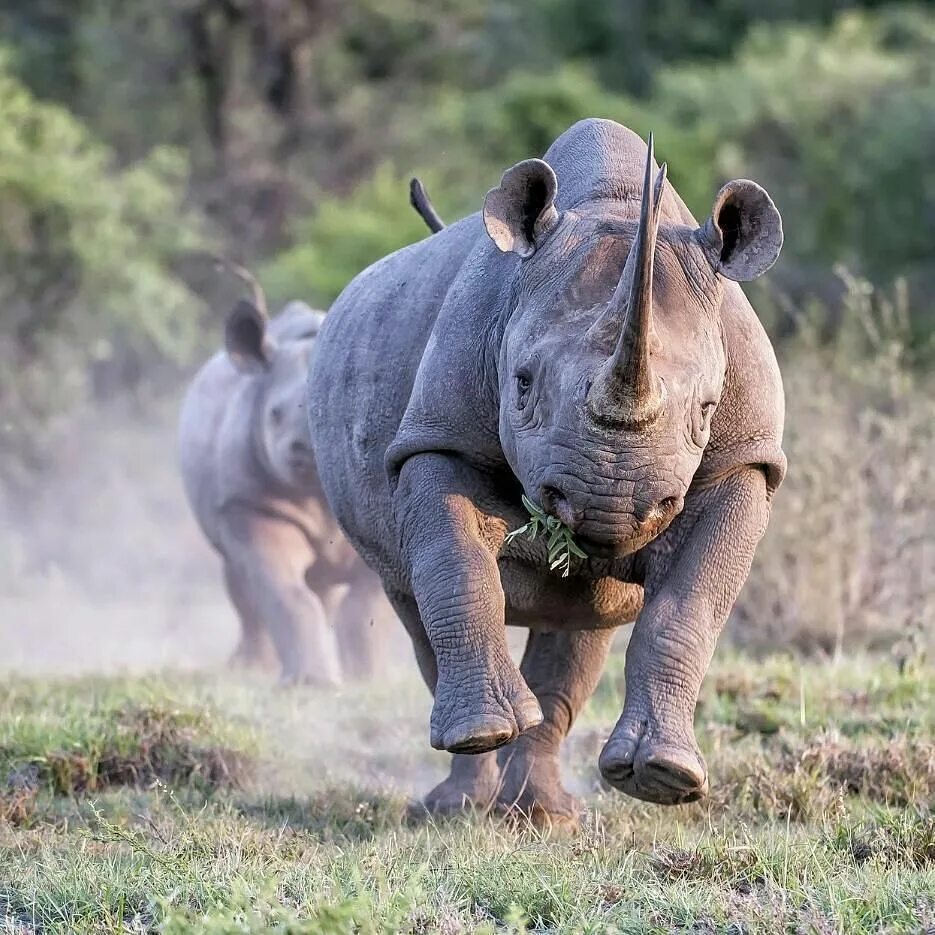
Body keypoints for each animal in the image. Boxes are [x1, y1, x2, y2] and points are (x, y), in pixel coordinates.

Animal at [177, 296, 394, 684]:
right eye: (274, 413)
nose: (307, 448)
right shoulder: (249, 504)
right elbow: (285, 592)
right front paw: (313, 685)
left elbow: (365, 605)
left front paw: (369, 680)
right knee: (243, 582)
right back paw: (250, 669)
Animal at [310, 119, 788, 828]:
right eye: (522, 384)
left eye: (706, 409)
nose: (609, 506)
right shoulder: (438, 436)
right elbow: (455, 564)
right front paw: (483, 732)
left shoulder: (745, 459)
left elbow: (688, 605)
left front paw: (666, 779)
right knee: (411, 599)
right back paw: (457, 801)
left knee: (580, 629)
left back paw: (542, 816)